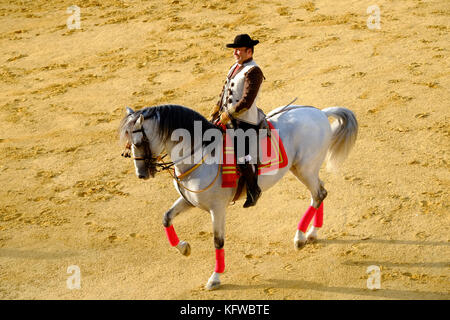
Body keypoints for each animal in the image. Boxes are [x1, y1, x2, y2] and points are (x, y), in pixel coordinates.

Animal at [118, 104, 356, 290]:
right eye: (128, 144)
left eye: (138, 142)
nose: (141, 174)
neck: (199, 154)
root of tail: (320, 113)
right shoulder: (189, 201)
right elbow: (166, 217)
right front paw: (184, 248)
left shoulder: (217, 208)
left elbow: (218, 241)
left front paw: (214, 279)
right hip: (304, 170)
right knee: (320, 193)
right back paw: (312, 235)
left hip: (304, 169)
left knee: (318, 194)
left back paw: (299, 238)